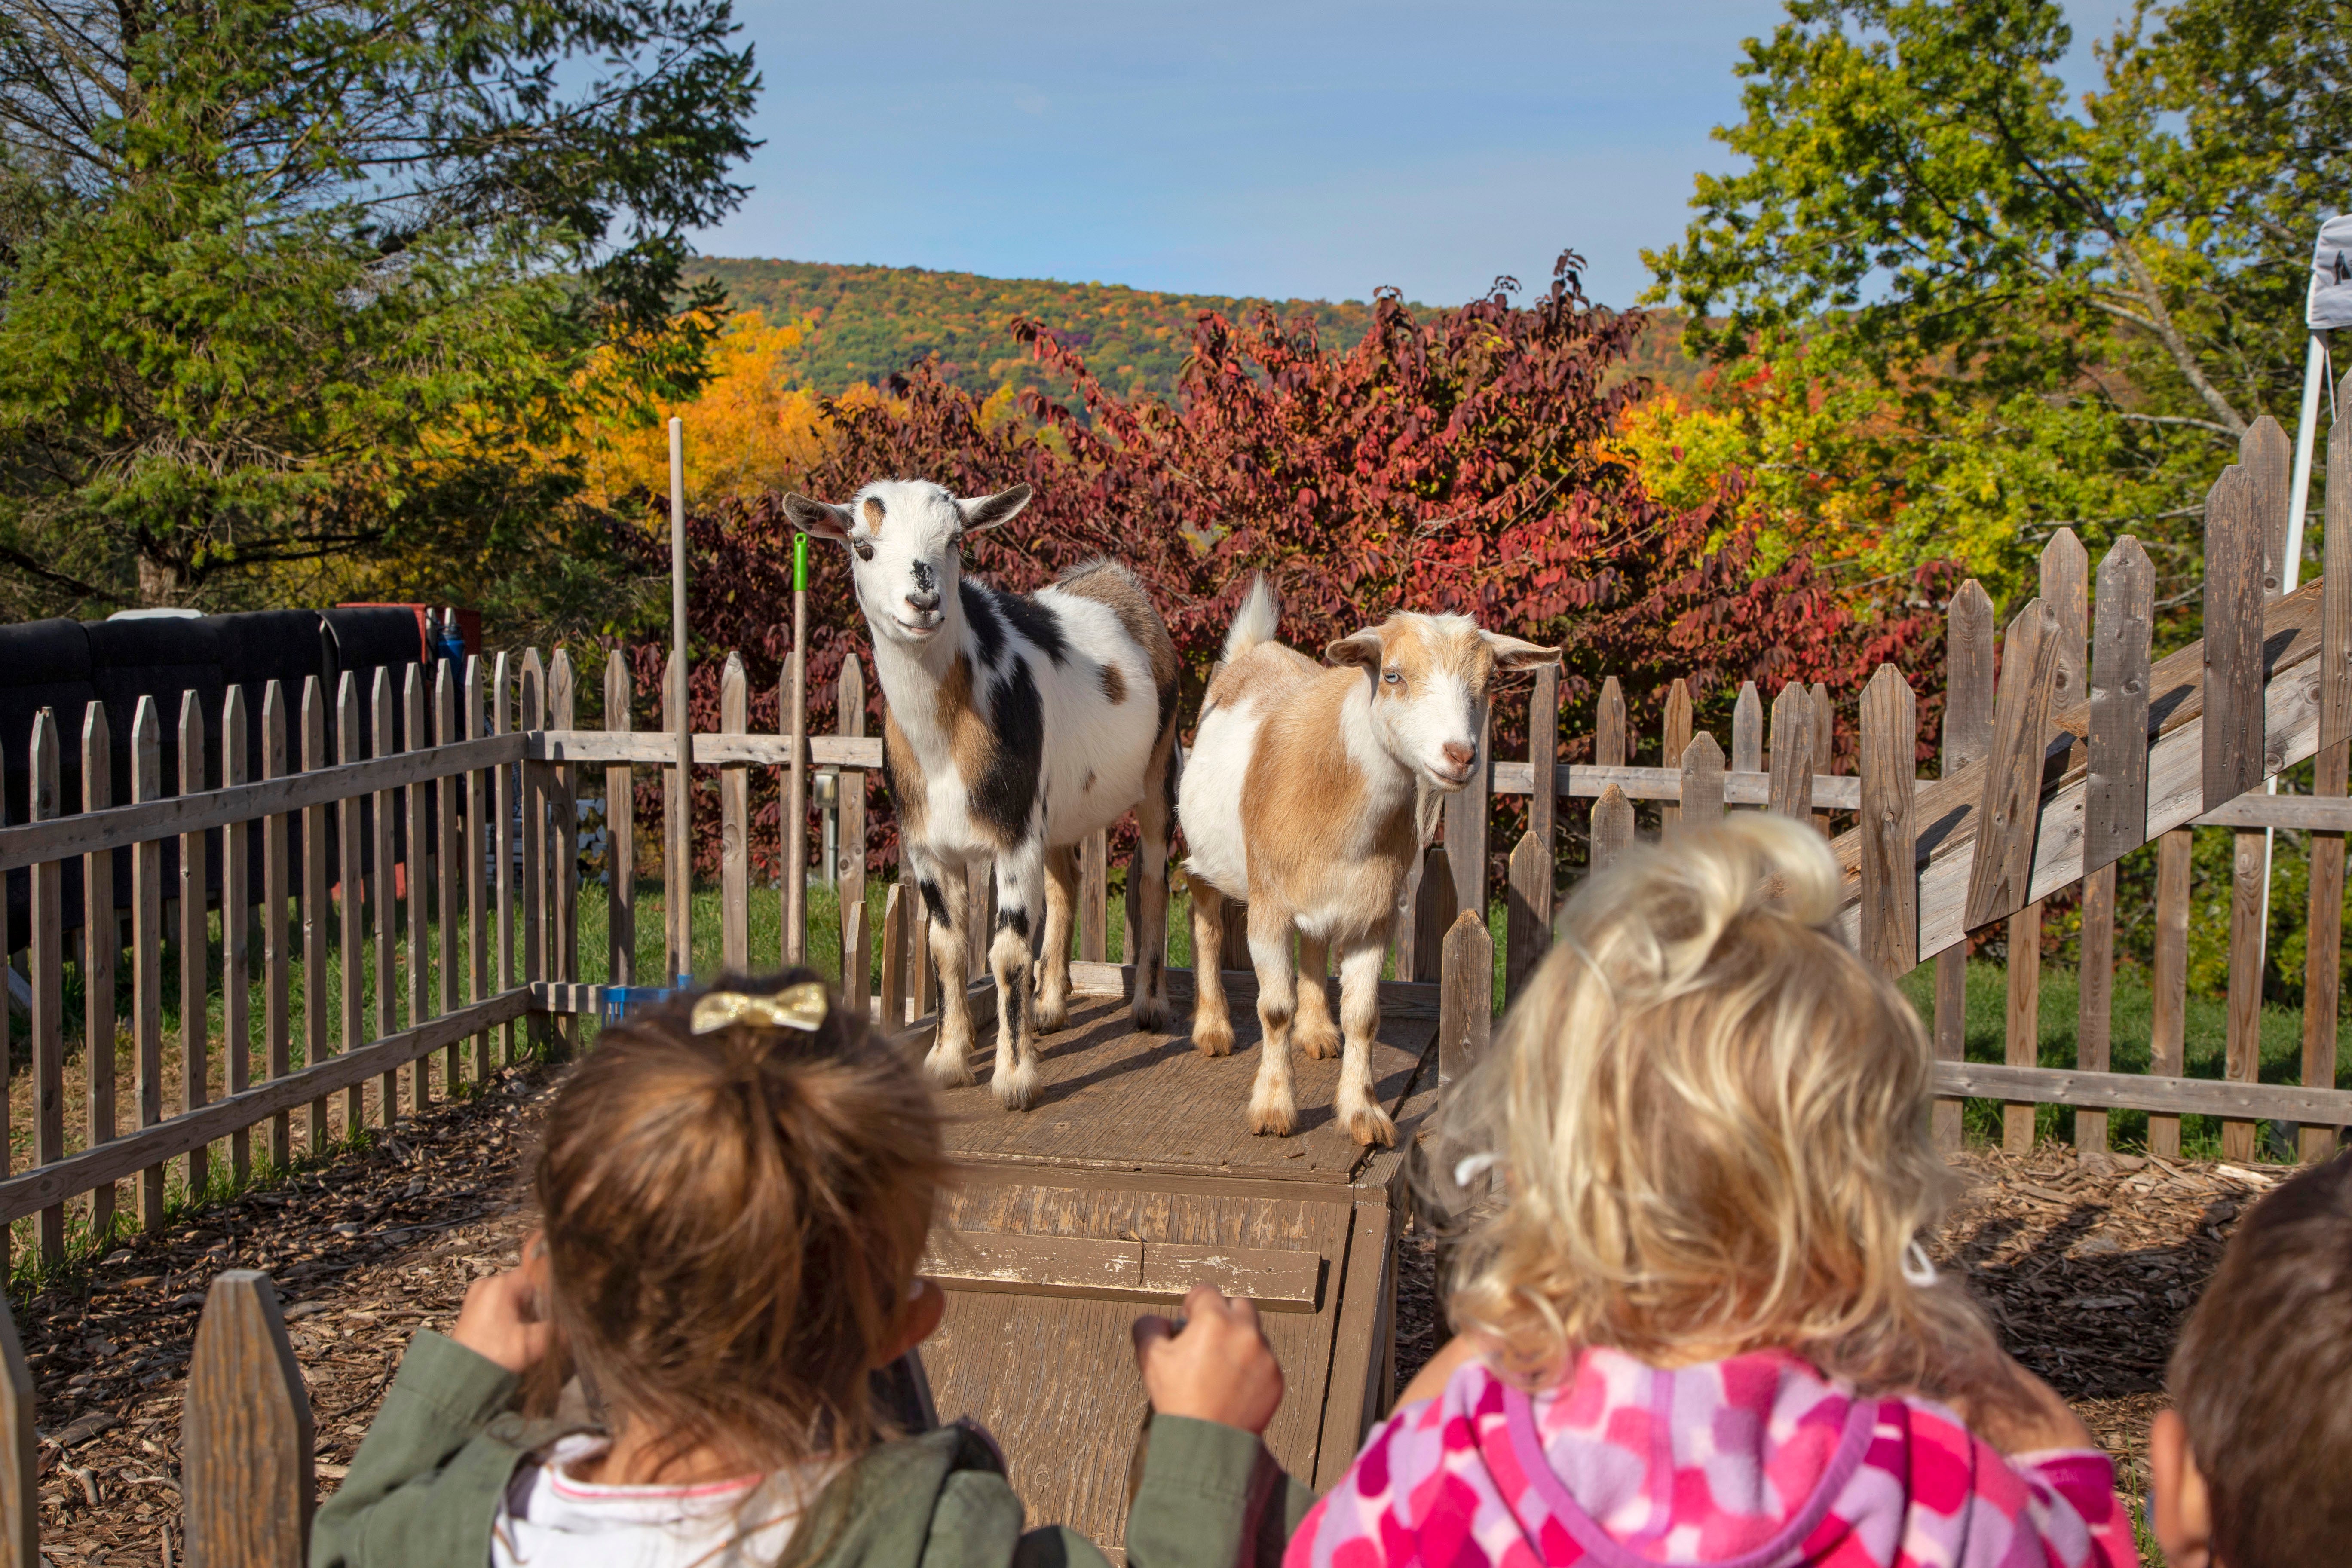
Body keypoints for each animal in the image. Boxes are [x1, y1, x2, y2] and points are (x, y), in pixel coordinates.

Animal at [785, 481, 1180, 1108]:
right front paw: (947, 1061)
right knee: (1067, 880)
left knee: (1153, 877)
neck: (945, 735)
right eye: (861, 547)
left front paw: (1015, 1079)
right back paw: (1050, 1007)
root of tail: (1118, 580)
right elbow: (944, 946)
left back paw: (1149, 1004)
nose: (922, 601)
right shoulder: (927, 846)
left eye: (955, 542)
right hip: (1058, 807)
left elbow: (1007, 951)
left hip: (1161, 765)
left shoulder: (1014, 836)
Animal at [1177, 577, 1559, 1145]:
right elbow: (1274, 1010)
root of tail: (1255, 651)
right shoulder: (1269, 907)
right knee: (1204, 921)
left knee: (1315, 946)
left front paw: (1362, 1113)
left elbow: (1364, 1016)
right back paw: (1214, 1028)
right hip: (1205, 855)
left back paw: (1318, 1033)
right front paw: (1273, 1109)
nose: (1460, 755)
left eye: (1490, 680)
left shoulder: (1374, 915)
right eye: (1394, 675)